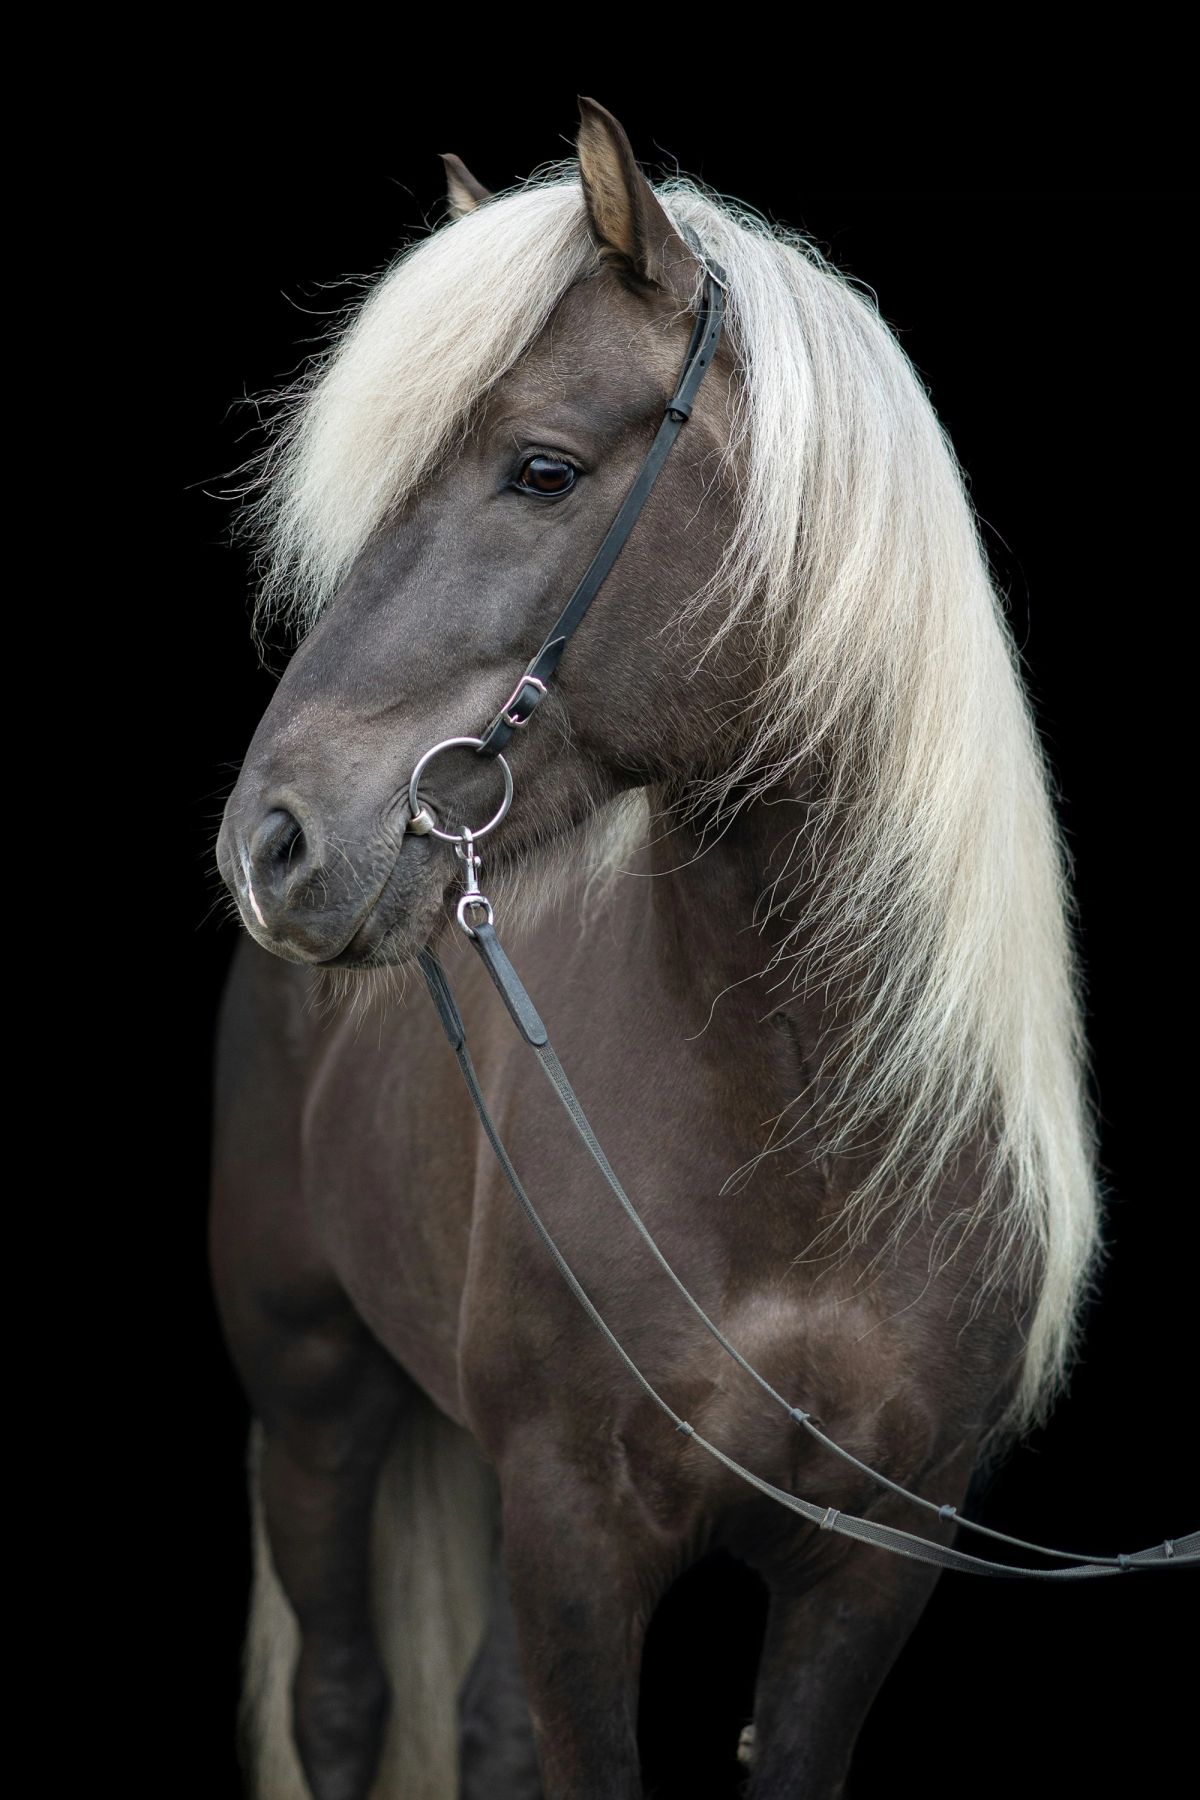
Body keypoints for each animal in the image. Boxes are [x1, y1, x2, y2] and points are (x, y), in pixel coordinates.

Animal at [212, 99, 1102, 1798]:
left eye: (543, 470)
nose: (270, 844)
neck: (806, 1135)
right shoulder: (577, 1537)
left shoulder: (869, 1571)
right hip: (311, 1390)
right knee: (344, 1700)